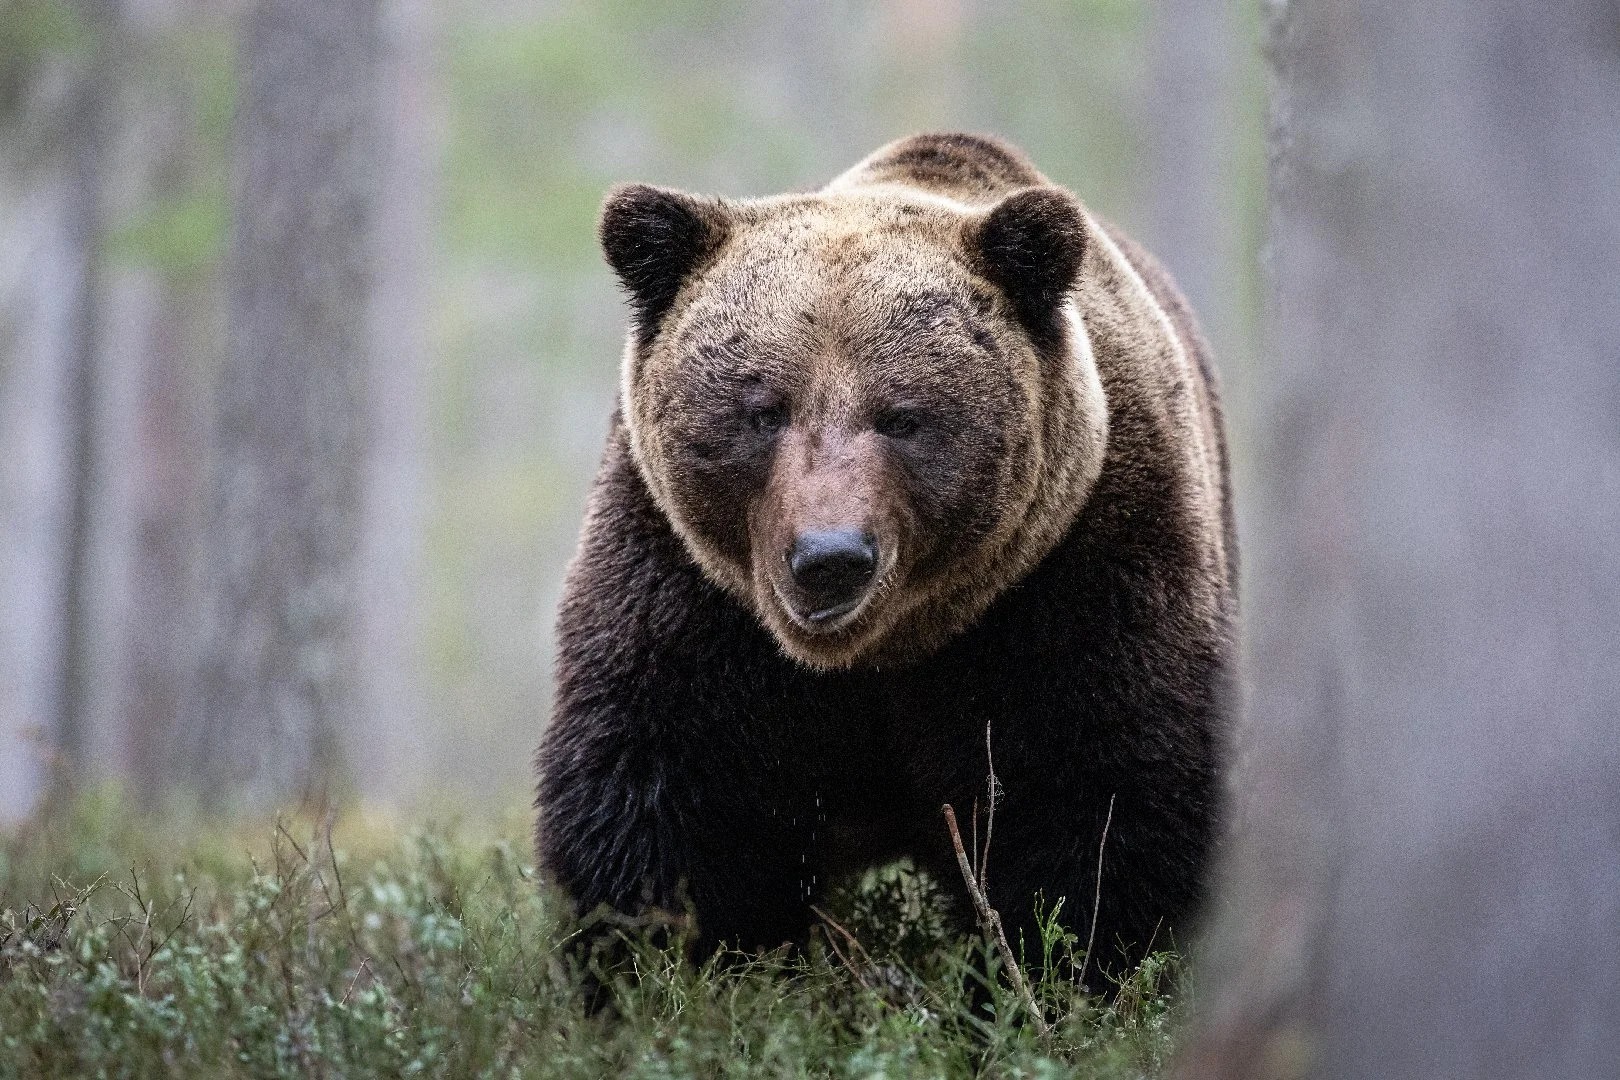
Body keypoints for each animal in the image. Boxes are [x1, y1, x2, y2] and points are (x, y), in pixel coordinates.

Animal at [536, 132, 1236, 983]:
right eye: (762, 408)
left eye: (903, 416)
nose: (830, 556)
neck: (880, 657)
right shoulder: (689, 591)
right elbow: (674, 805)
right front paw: (674, 965)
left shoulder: (1081, 573)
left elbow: (1101, 807)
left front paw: (1060, 970)